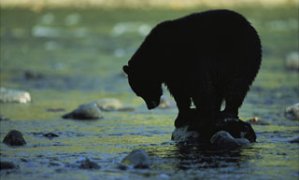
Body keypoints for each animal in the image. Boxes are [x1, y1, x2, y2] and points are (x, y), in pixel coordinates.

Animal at [123, 9, 262, 137]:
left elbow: (200, 87)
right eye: (139, 93)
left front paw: (201, 119)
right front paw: (182, 117)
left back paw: (228, 112)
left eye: (143, 89)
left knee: (236, 85)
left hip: (240, 57)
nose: (150, 106)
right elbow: (180, 93)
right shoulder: (172, 74)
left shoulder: (190, 60)